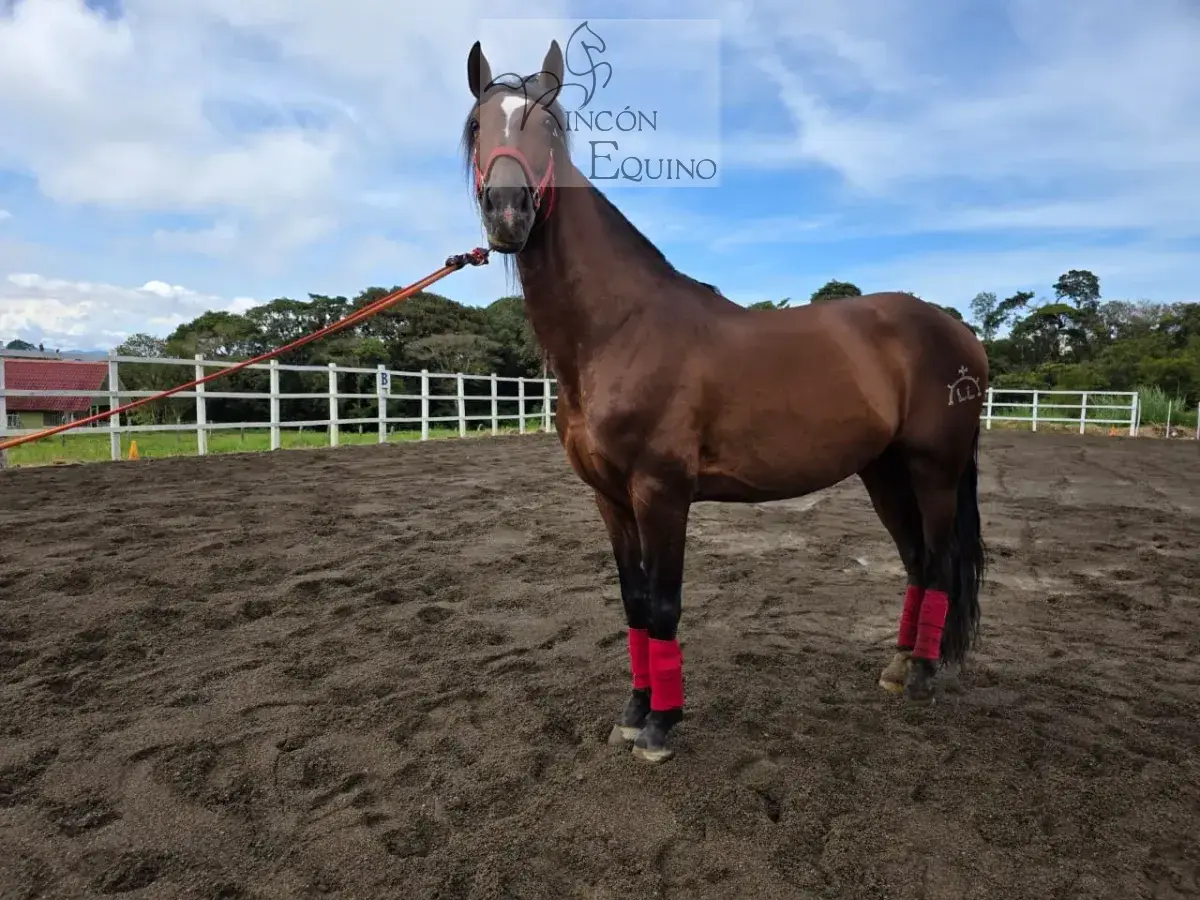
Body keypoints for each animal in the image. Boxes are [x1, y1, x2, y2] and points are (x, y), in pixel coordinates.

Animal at [461, 39, 989, 764]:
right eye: (478, 125)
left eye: (550, 128)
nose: (508, 211)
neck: (619, 329)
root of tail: (959, 332)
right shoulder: (609, 498)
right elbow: (633, 603)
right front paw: (633, 711)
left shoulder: (661, 492)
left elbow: (663, 604)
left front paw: (660, 726)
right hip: (883, 471)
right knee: (914, 560)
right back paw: (900, 663)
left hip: (934, 469)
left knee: (938, 562)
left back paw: (925, 676)